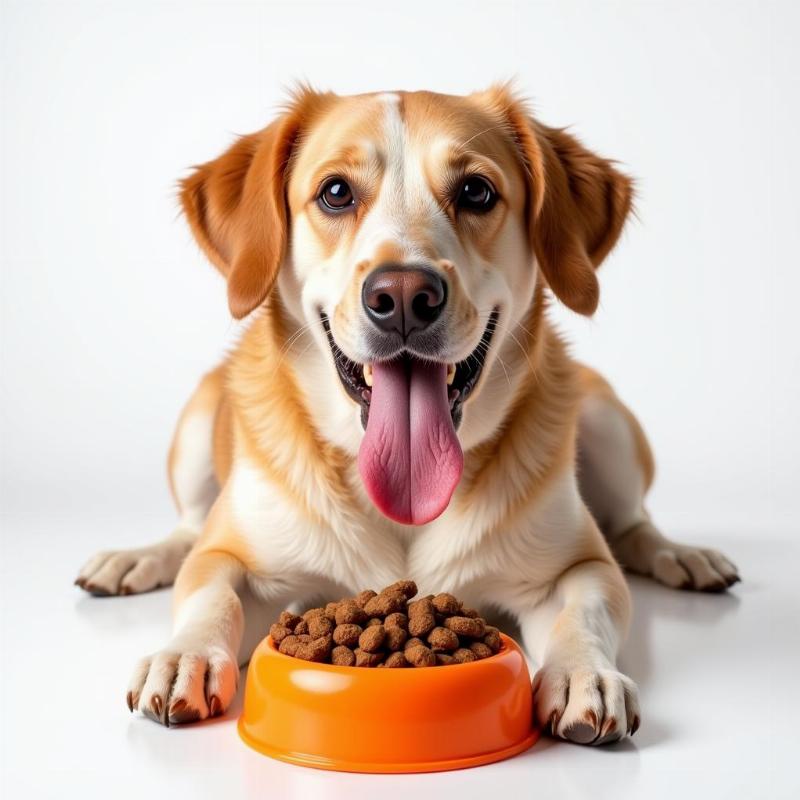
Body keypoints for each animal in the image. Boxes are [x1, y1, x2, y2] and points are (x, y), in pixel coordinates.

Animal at [78, 86, 740, 744]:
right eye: (336, 192)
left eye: (476, 191)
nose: (401, 296)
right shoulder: (230, 559)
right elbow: (213, 593)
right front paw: (183, 656)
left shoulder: (578, 567)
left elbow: (584, 611)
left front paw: (584, 674)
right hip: (196, 425)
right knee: (188, 529)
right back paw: (133, 559)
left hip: (605, 419)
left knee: (632, 522)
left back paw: (682, 555)